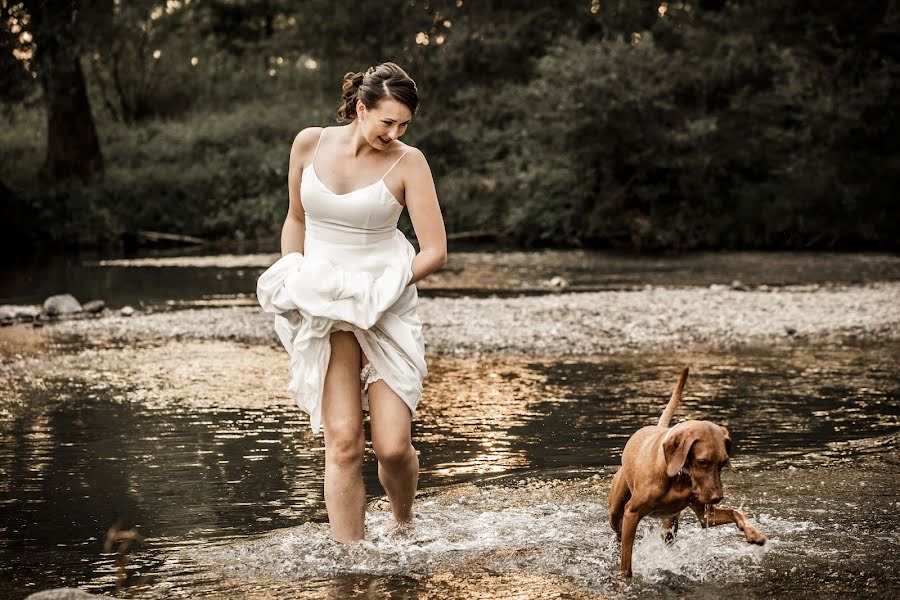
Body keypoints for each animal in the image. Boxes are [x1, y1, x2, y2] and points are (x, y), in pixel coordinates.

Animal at [604, 366, 768, 576]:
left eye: (723, 463)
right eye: (702, 461)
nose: (717, 497)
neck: (679, 476)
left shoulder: (706, 515)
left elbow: (736, 513)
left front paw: (754, 534)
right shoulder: (631, 513)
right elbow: (626, 562)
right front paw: (625, 577)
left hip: (670, 525)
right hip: (616, 510)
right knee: (617, 531)